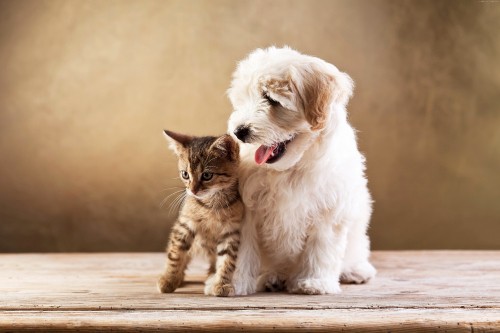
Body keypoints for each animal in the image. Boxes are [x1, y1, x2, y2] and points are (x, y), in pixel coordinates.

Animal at [156, 130, 242, 296]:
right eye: (185, 174)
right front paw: (168, 280)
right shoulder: (184, 224)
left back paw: (211, 274)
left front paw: (222, 283)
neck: (211, 205)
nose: (192, 190)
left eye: (207, 175)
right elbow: (175, 254)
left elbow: (227, 260)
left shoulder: (231, 231)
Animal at [227, 46, 376, 294]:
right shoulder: (247, 208)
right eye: (243, 99)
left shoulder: (329, 209)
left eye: (271, 99)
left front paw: (315, 282)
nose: (239, 131)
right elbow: (242, 249)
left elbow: (321, 247)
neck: (290, 168)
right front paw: (231, 282)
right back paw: (273, 277)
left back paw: (355, 270)